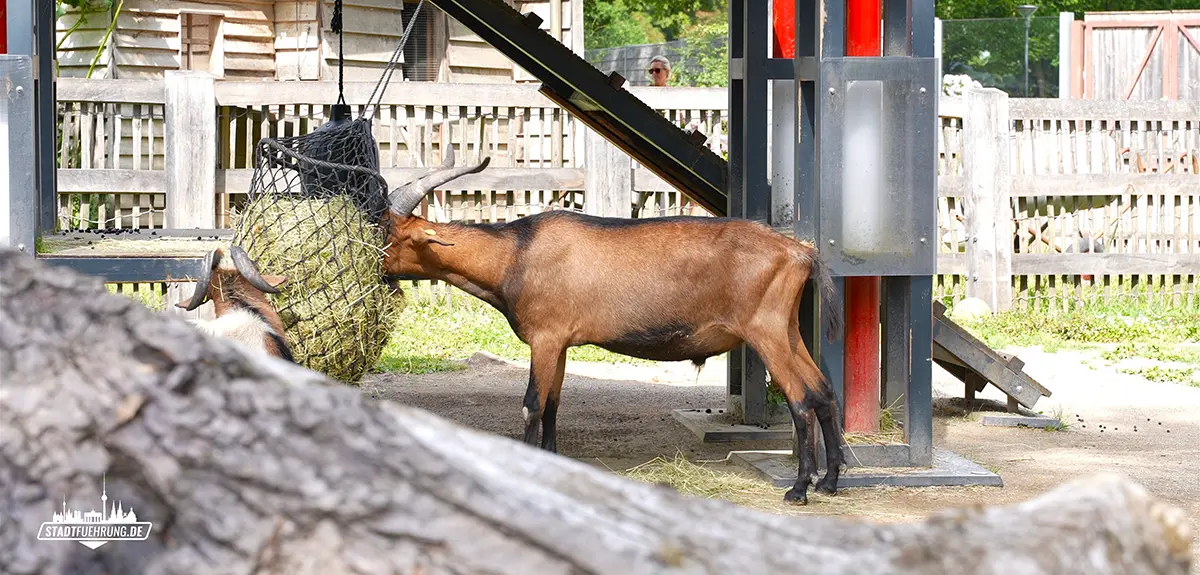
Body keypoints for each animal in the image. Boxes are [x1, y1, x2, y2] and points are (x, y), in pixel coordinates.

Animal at [380, 149, 846, 504]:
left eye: (388, 234)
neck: (516, 255)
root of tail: (801, 252)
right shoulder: (560, 343)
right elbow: (554, 404)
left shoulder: (544, 338)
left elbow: (532, 404)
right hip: (787, 329)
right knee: (823, 391)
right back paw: (829, 482)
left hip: (765, 331)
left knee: (801, 399)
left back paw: (799, 489)